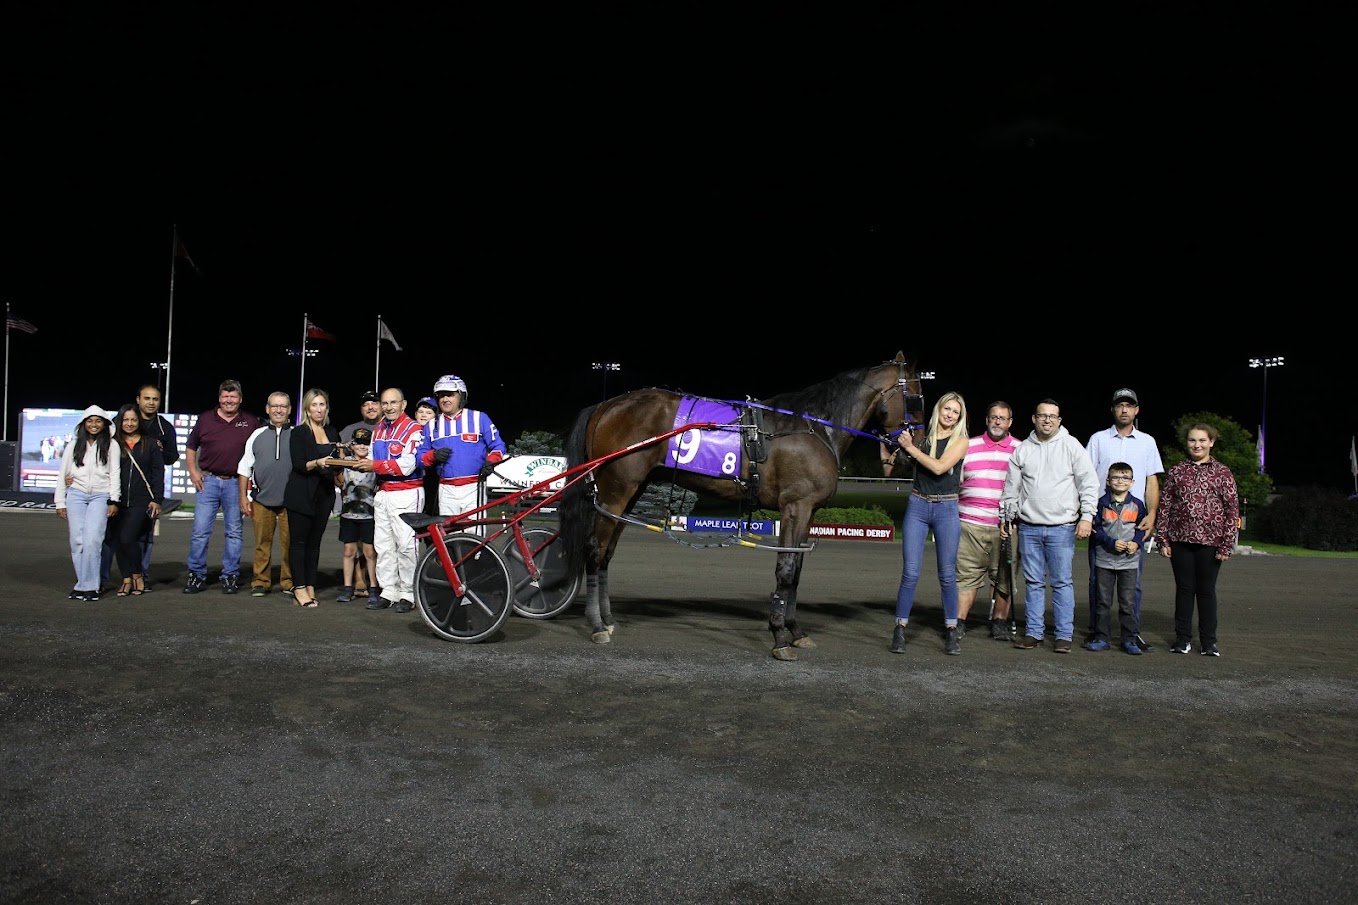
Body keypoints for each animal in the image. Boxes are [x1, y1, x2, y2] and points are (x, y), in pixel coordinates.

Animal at [559, 350, 923, 654]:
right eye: (915, 397)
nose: (913, 450)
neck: (815, 428)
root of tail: (607, 405)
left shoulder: (809, 511)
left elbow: (797, 571)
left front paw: (796, 630)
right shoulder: (795, 506)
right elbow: (785, 570)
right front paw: (779, 636)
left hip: (630, 491)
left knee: (607, 553)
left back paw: (608, 619)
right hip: (616, 490)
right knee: (595, 550)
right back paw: (596, 624)